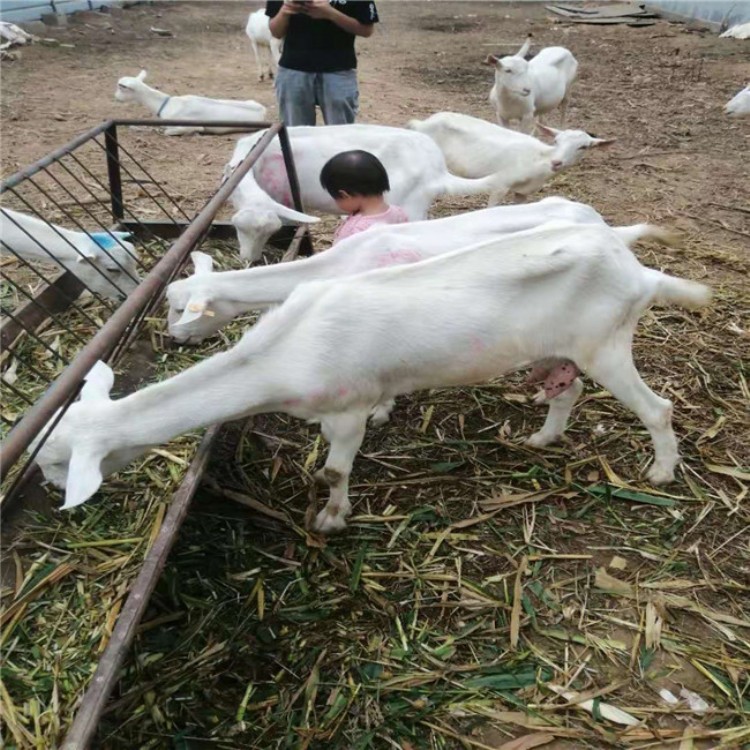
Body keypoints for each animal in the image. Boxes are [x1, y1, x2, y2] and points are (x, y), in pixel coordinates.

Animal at [33, 220, 712, 532]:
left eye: (57, 463)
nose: (50, 494)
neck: (285, 350)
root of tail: (638, 269)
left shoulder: (346, 408)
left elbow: (336, 468)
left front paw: (331, 520)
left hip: (607, 343)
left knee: (657, 408)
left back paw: (661, 471)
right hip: (552, 348)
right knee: (565, 390)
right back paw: (543, 438)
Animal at [116, 70, 268, 135]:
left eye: (121, 88)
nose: (115, 97)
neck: (168, 104)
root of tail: (263, 111)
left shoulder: (190, 125)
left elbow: (167, 132)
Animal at [226, 125, 516, 262]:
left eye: (269, 232)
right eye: (238, 227)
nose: (248, 260)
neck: (252, 159)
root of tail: (438, 170)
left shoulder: (282, 197)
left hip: (409, 205)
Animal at [408, 111, 612, 206]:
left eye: (583, 147)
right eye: (556, 141)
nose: (556, 162)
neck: (538, 160)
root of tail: (421, 123)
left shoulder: (523, 192)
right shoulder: (501, 183)